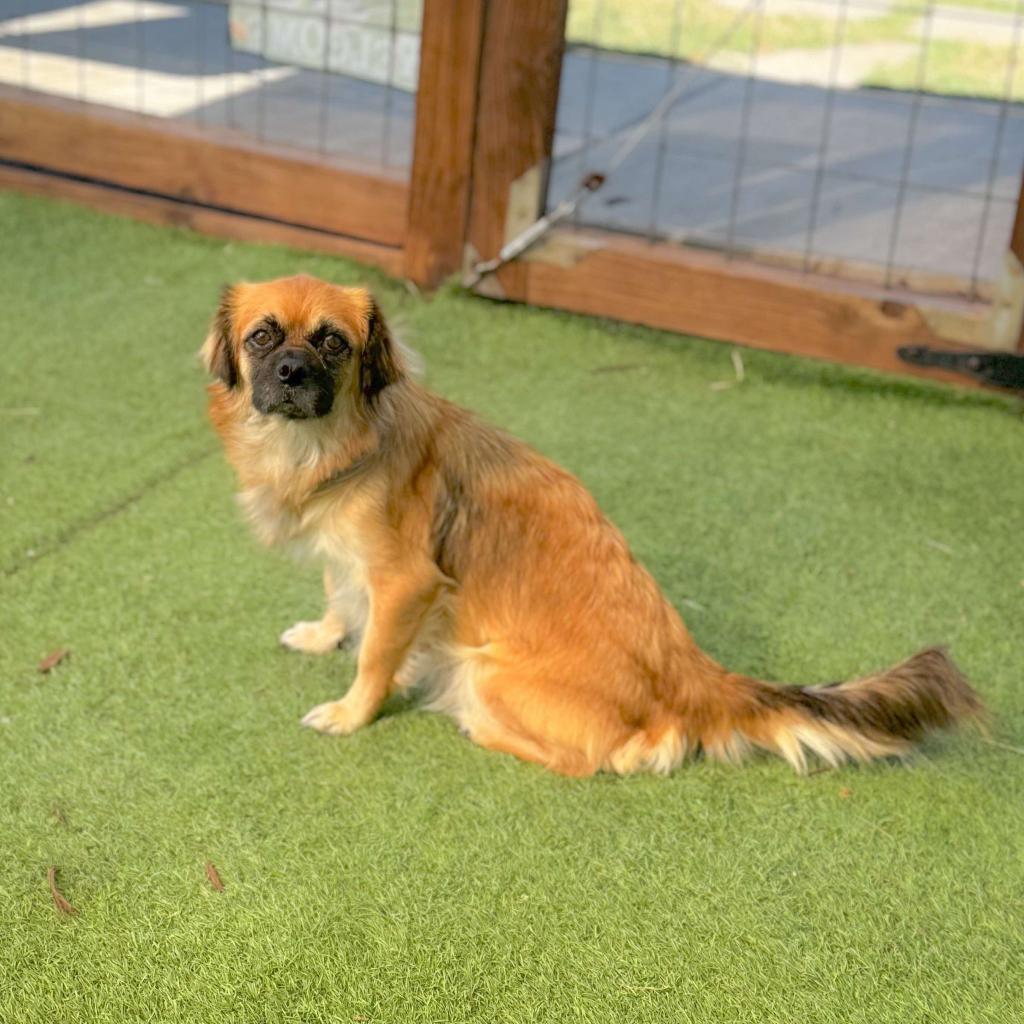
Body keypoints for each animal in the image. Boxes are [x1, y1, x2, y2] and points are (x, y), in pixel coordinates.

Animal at [201, 272, 983, 774]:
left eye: (333, 343)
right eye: (262, 337)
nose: (293, 371)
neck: (325, 444)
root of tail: (687, 672)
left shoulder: (405, 582)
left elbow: (374, 657)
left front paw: (350, 711)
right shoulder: (347, 555)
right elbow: (339, 597)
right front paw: (323, 634)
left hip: (489, 670)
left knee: (601, 759)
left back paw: (474, 723)